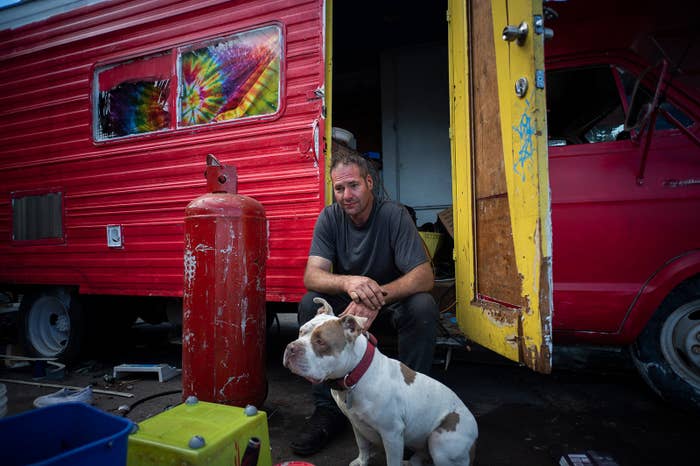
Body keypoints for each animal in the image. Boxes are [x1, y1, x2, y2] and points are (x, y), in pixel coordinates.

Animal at [284, 298, 476, 466]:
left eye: (321, 341)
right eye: (301, 331)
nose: (291, 348)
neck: (354, 375)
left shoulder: (392, 434)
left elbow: (392, 461)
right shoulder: (357, 424)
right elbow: (362, 445)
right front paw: (362, 462)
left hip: (440, 441)